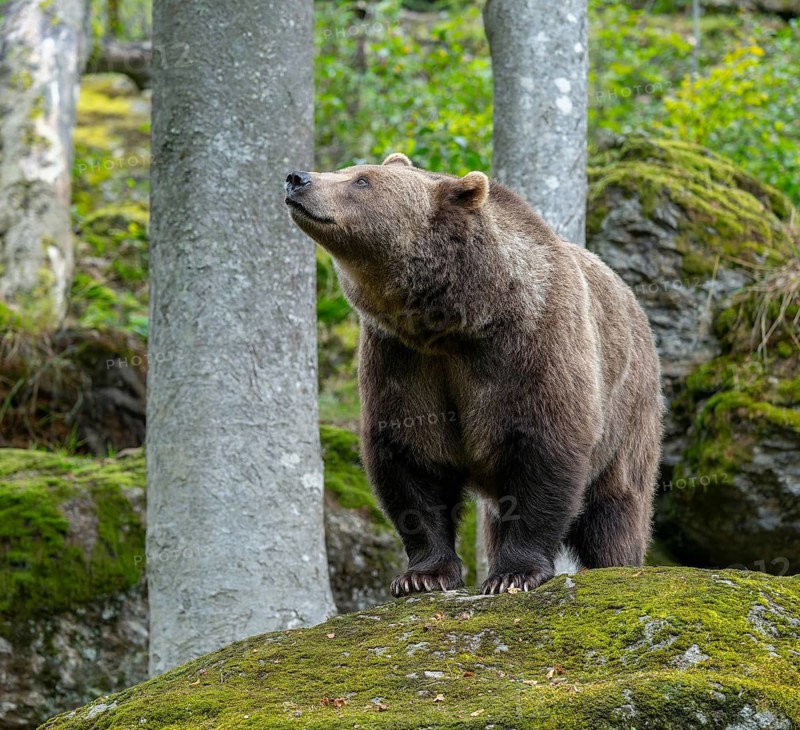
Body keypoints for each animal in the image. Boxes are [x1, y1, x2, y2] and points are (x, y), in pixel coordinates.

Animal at [285, 153, 662, 596]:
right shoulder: (402, 357)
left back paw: (615, 563)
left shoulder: (533, 345)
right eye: (350, 170)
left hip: (629, 409)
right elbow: (410, 456)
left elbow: (544, 449)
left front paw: (512, 574)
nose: (297, 178)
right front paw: (422, 575)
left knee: (616, 503)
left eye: (362, 180)